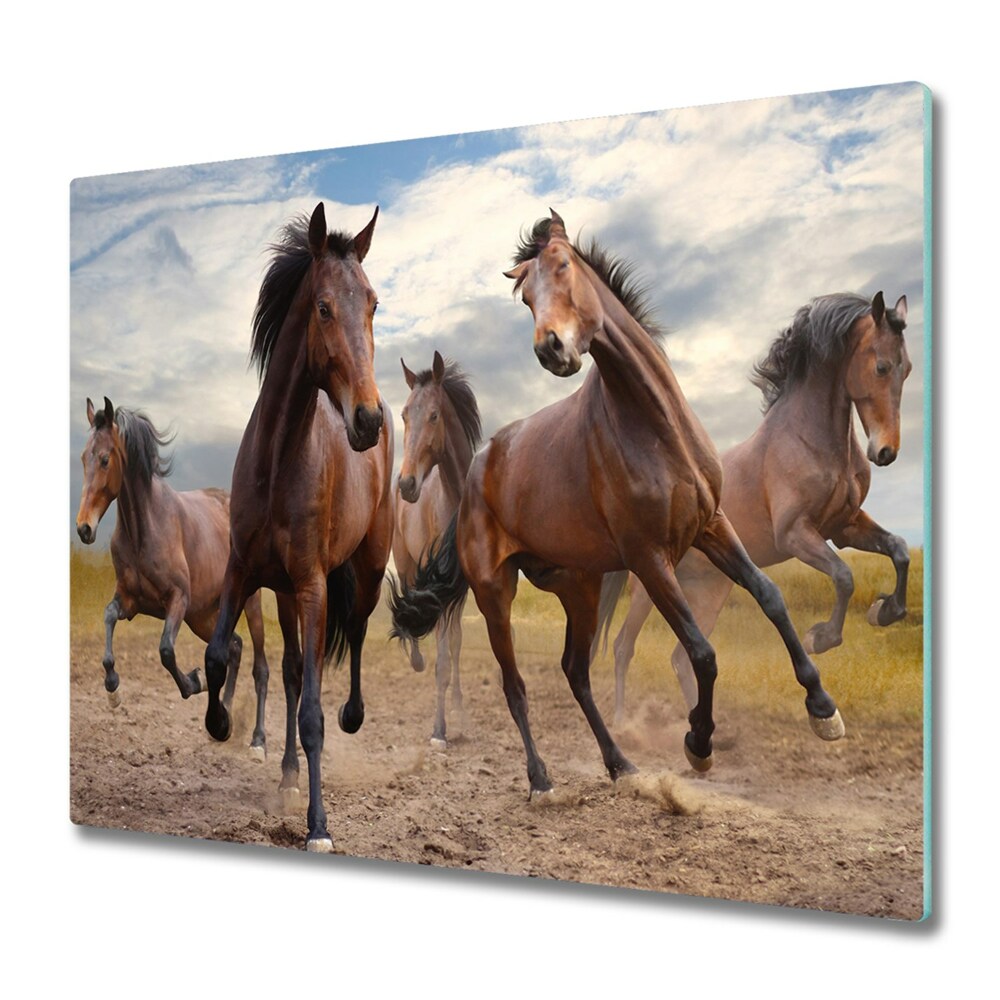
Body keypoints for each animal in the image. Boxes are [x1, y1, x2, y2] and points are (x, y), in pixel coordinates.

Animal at [75, 398, 271, 756]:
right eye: (83, 457)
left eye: (105, 459)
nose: (84, 529)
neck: (145, 529)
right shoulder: (130, 601)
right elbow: (108, 616)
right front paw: (113, 690)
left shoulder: (178, 601)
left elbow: (166, 650)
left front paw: (194, 680)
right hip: (203, 616)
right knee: (234, 647)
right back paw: (222, 719)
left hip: (247, 603)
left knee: (260, 667)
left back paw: (257, 742)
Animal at [202, 202, 393, 852]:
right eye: (323, 307)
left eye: (373, 304)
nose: (368, 419)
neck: (280, 457)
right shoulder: (243, 571)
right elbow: (218, 655)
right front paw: (220, 723)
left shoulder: (312, 586)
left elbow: (313, 713)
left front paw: (319, 827)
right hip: (283, 593)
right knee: (287, 672)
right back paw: (285, 773)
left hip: (363, 570)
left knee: (355, 634)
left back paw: (353, 717)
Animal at [390, 210, 843, 797]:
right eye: (525, 297)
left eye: (563, 265)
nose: (551, 349)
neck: (654, 426)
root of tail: (473, 471)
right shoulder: (648, 558)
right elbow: (702, 652)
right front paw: (698, 745)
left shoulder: (712, 526)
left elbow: (770, 597)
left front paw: (823, 709)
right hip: (495, 592)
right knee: (515, 685)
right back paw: (541, 779)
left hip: (578, 587)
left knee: (575, 671)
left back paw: (619, 762)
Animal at [601, 291, 912, 722]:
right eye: (881, 366)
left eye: (908, 369)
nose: (885, 452)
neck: (809, 440)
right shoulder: (796, 534)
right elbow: (844, 576)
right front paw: (820, 638)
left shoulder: (844, 527)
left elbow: (898, 549)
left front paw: (886, 611)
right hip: (650, 590)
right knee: (623, 647)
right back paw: (620, 720)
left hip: (710, 593)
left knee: (681, 659)